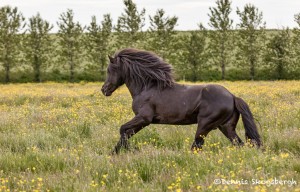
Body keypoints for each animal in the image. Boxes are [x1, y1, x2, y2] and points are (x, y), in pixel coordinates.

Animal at [101, 48, 260, 154]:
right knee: (239, 144)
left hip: (205, 125)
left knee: (196, 146)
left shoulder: (144, 118)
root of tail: (232, 96)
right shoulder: (142, 121)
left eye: (109, 70)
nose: (104, 89)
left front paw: (127, 150)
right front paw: (116, 152)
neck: (146, 87)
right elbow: (126, 132)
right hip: (225, 126)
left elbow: (122, 129)